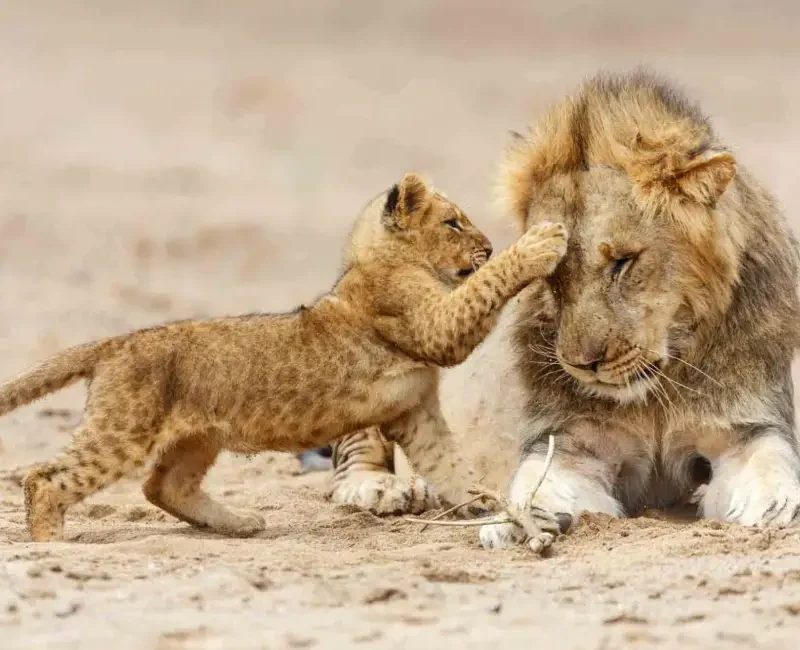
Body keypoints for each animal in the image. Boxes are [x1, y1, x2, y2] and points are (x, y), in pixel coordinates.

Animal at [0, 172, 567, 542]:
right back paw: (51, 542)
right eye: (453, 223)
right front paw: (541, 241)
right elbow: (484, 289)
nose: (488, 245)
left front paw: (490, 505)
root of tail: (117, 341)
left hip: (195, 438)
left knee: (163, 486)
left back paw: (240, 523)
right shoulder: (431, 325)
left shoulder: (415, 413)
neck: (377, 262)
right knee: (46, 478)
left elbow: (451, 466)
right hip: (125, 429)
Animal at [329, 70, 800, 551]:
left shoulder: (743, 427)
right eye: (551, 274)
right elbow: (537, 481)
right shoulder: (570, 442)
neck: (656, 390)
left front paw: (771, 508)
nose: (583, 366)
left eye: (623, 261)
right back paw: (386, 489)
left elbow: (770, 460)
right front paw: (519, 519)